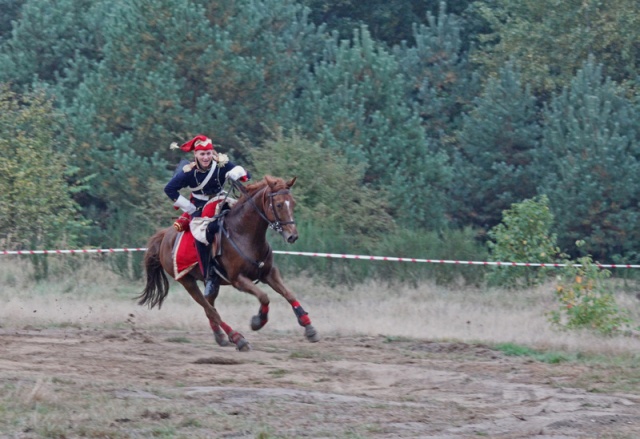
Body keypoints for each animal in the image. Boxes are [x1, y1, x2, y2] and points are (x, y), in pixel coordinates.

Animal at [139, 175, 320, 350]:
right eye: (279, 204)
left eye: (293, 203)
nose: (292, 236)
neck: (243, 234)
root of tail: (165, 236)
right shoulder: (238, 280)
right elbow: (264, 297)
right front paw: (258, 321)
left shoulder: (269, 273)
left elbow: (289, 294)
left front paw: (308, 327)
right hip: (187, 281)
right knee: (210, 310)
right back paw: (238, 338)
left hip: (212, 284)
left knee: (209, 306)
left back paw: (220, 336)